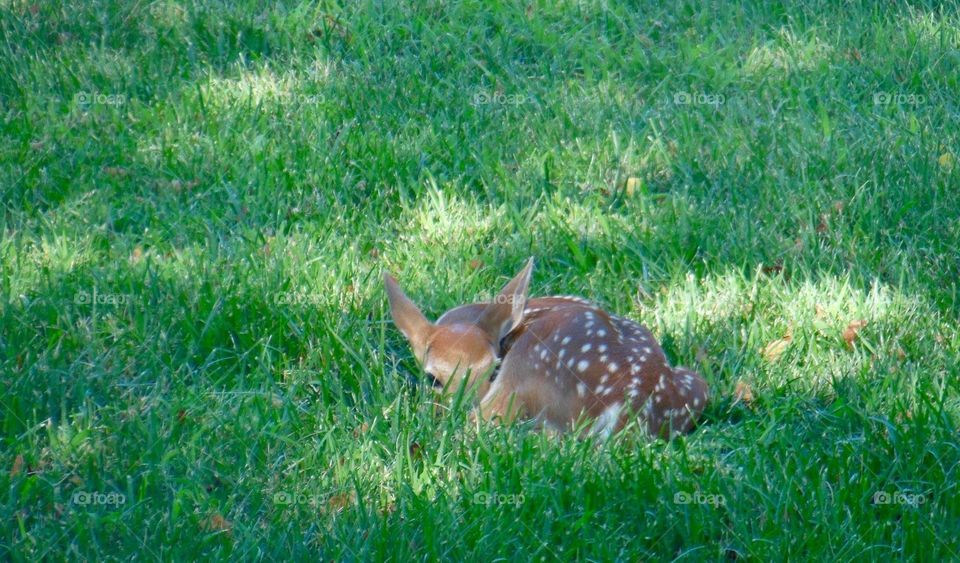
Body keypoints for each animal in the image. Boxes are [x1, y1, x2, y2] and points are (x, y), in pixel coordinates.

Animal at [383, 258, 708, 439]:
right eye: (433, 378)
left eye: (492, 370)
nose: (463, 403)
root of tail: (631, 403)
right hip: (696, 384)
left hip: (529, 360)